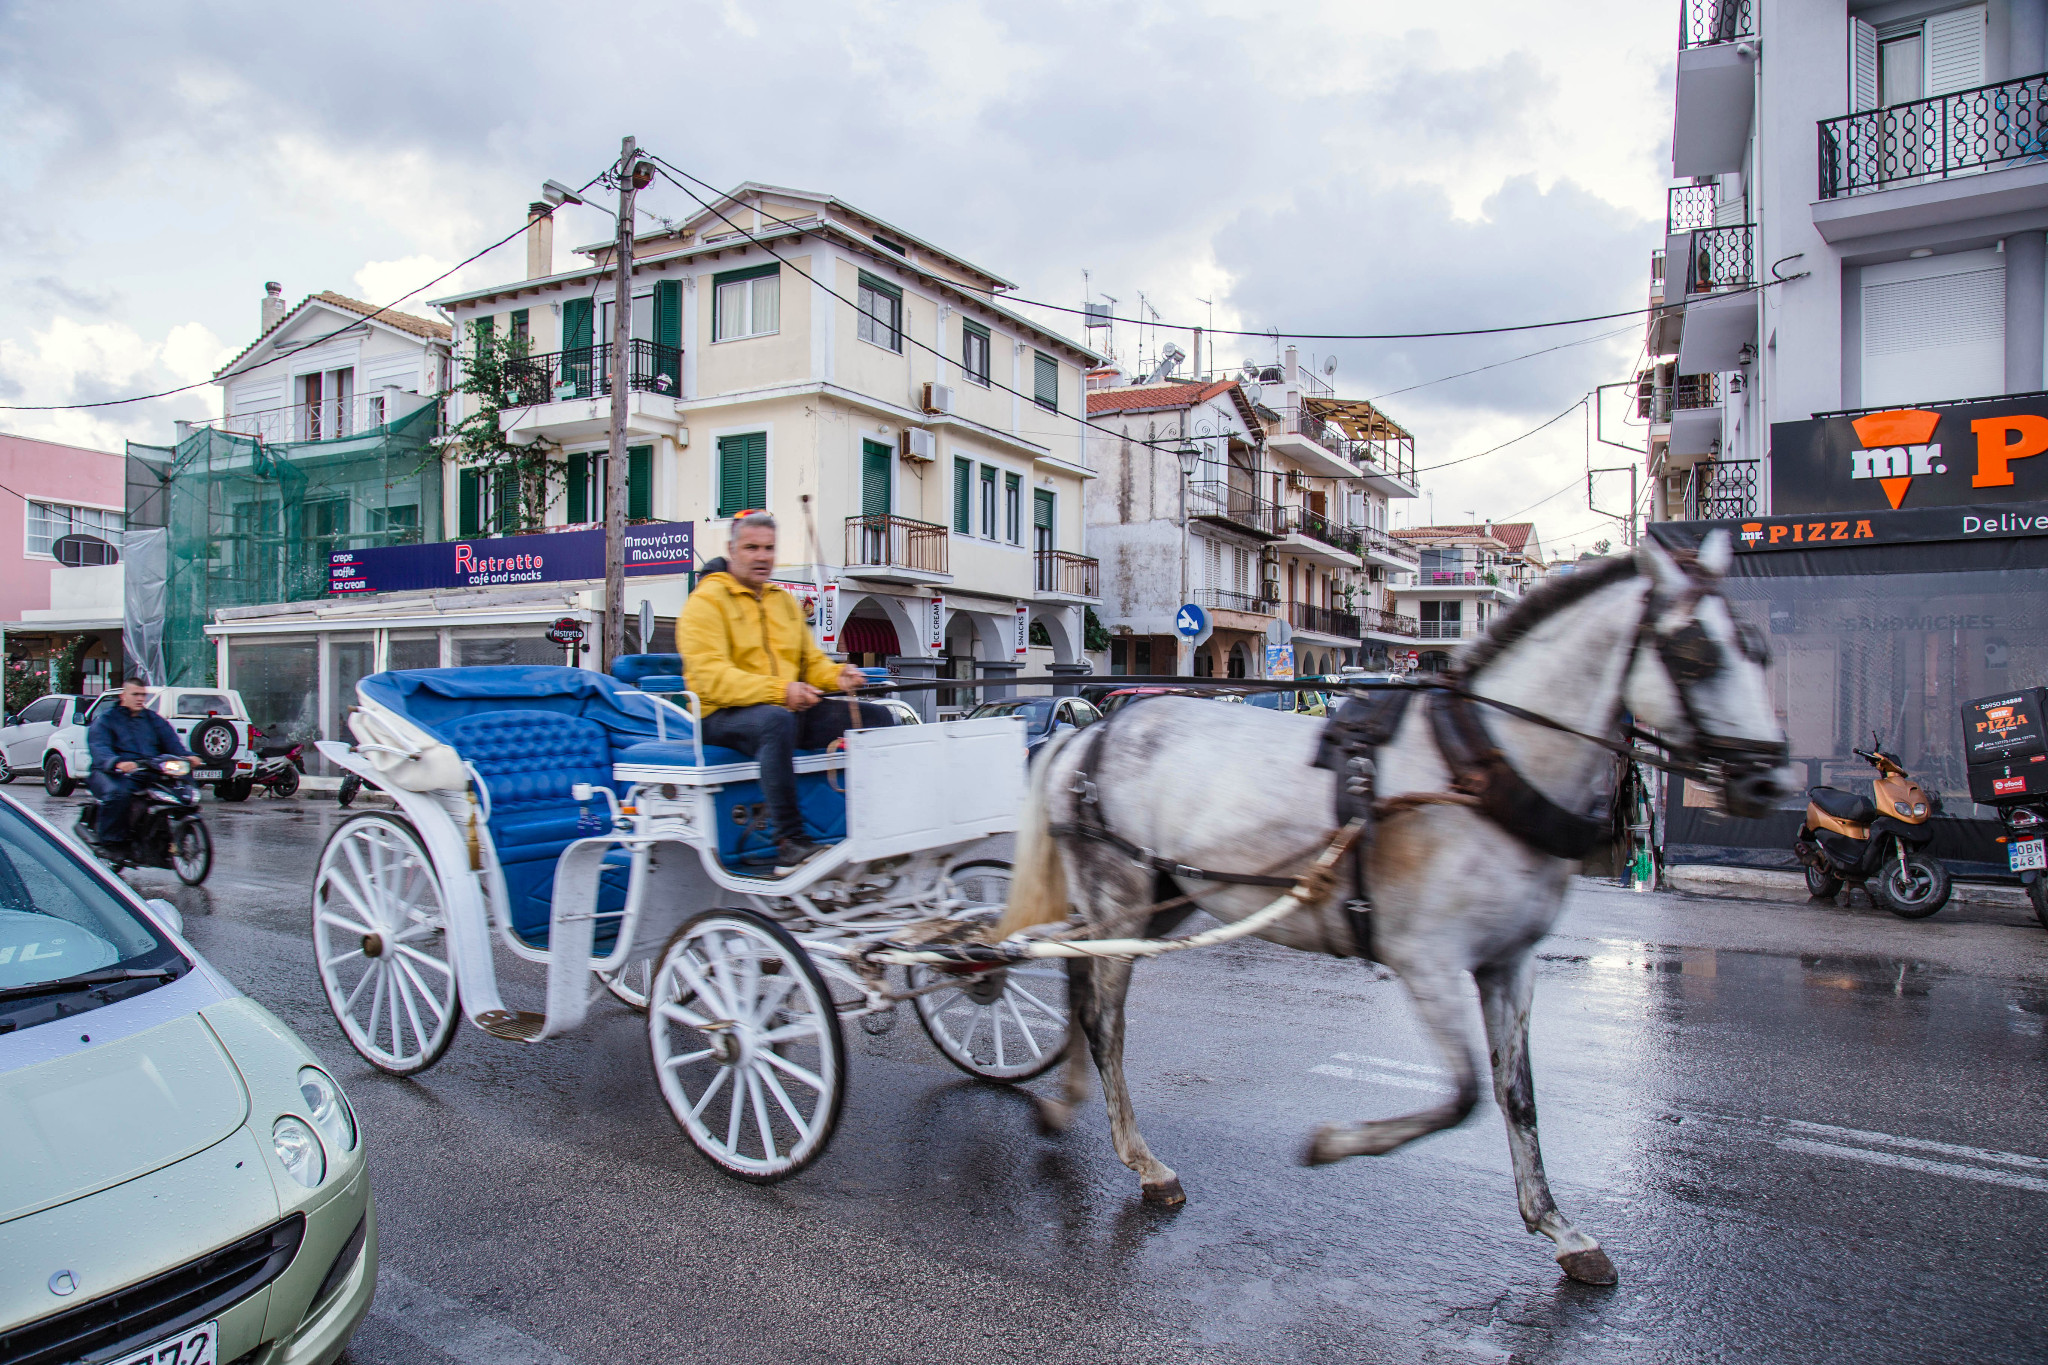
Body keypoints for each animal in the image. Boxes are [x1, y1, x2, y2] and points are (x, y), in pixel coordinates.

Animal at [995, 532, 1794, 1285]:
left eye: (1758, 648)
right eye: (1694, 654)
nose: (1770, 783)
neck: (1478, 772)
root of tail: (1091, 732)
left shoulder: (1511, 963)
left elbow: (1517, 1094)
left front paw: (1560, 1228)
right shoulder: (1428, 961)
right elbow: (1464, 1096)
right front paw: (1335, 1143)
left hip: (1158, 900)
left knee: (1075, 980)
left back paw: (1063, 1102)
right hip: (1124, 894)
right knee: (1104, 1021)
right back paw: (1143, 1159)